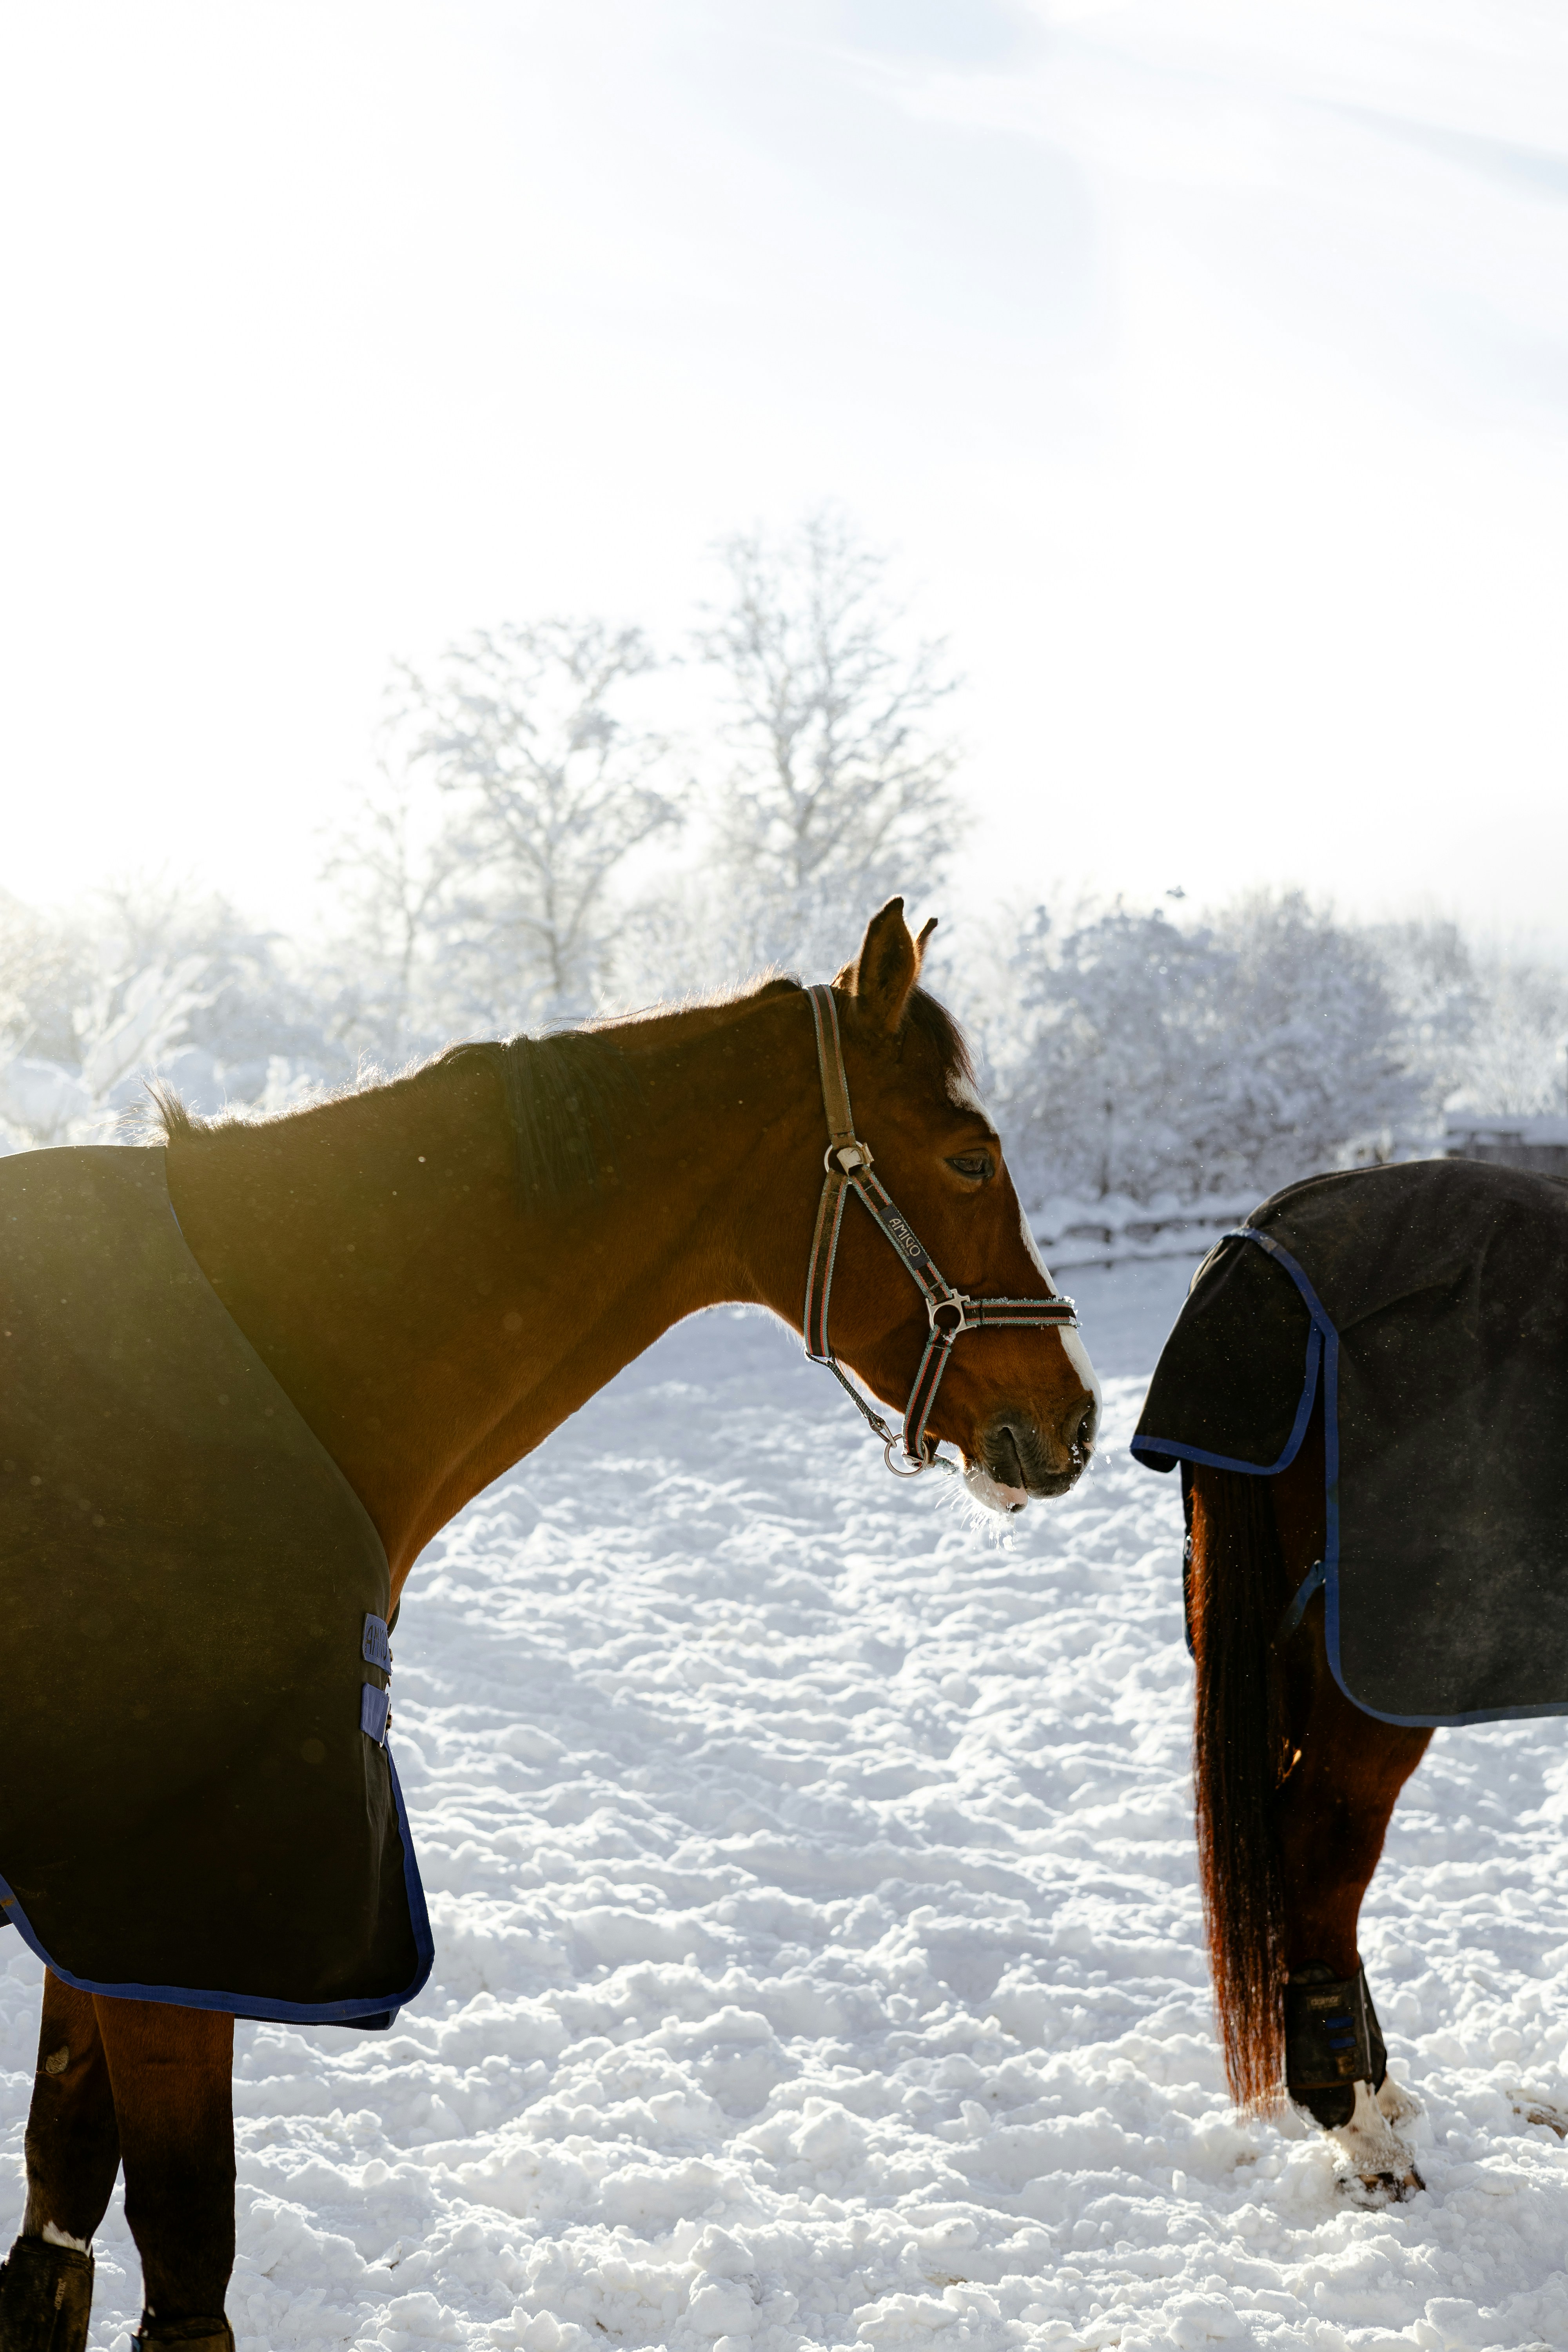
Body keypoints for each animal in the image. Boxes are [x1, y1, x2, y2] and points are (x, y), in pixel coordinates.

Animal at [0, 899, 1099, 2352]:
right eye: (971, 1158)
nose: (1076, 1415)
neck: (280, 1349)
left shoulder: (108, 1910)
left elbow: (56, 2222)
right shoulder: (179, 1906)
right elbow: (185, 2262)